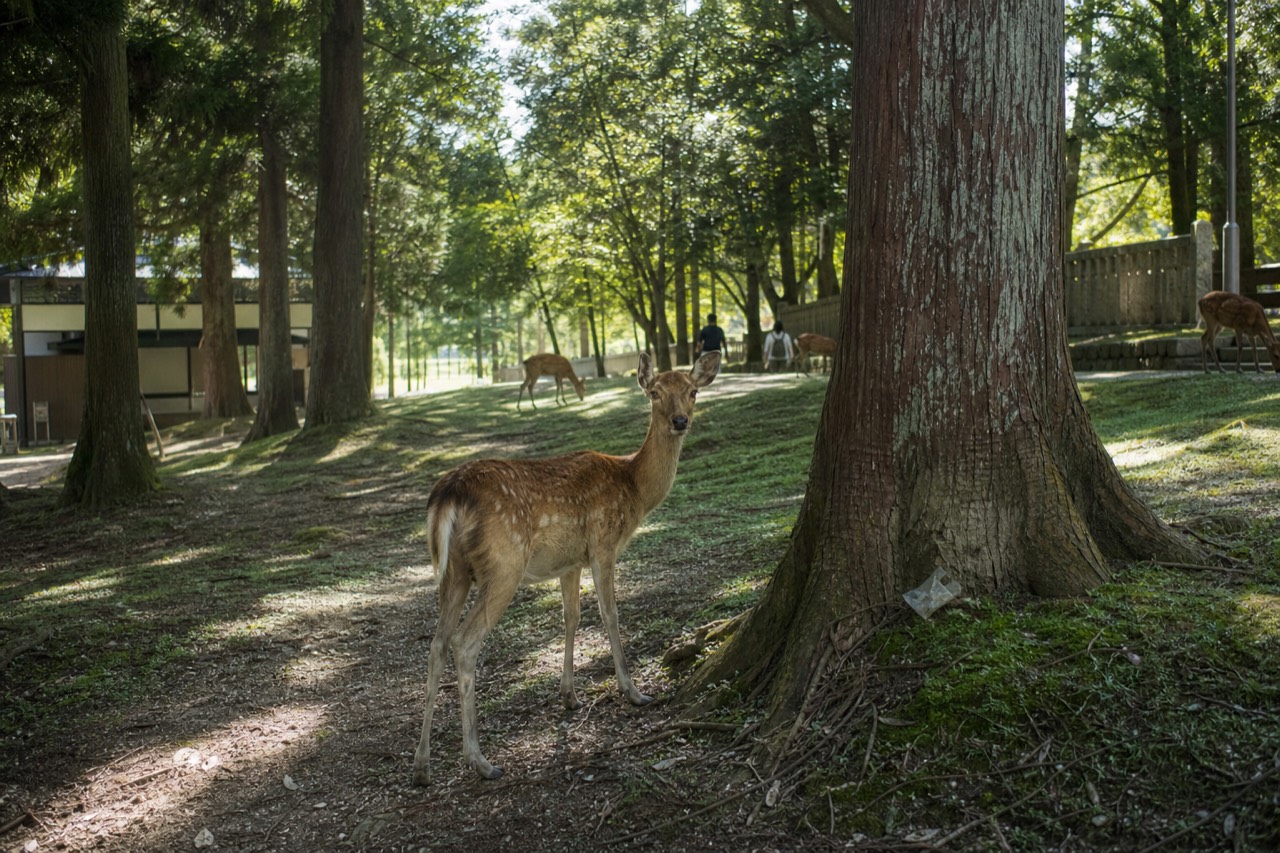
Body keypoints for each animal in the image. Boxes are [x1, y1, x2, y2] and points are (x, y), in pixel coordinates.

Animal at [413, 350, 721, 784]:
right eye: (655, 392)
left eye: (692, 391)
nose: (680, 420)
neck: (634, 488)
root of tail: (448, 494)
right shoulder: (603, 545)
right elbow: (609, 614)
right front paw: (633, 691)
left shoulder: (569, 562)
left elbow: (571, 618)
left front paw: (569, 696)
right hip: (503, 565)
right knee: (464, 642)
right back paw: (480, 760)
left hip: (453, 571)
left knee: (437, 644)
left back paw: (422, 766)